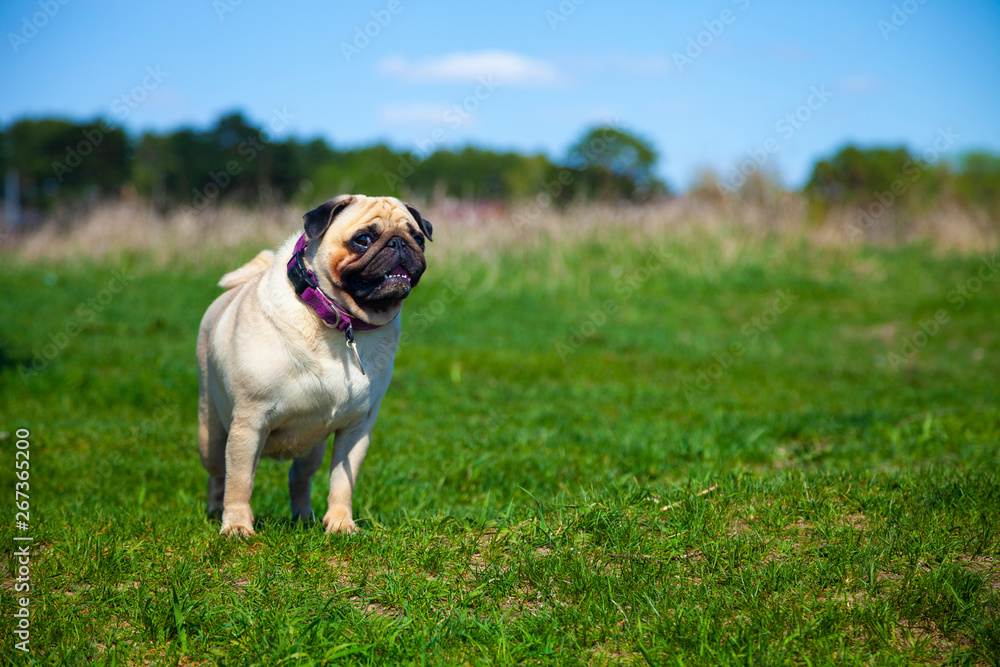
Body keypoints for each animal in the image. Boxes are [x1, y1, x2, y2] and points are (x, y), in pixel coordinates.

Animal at [195, 194, 430, 536]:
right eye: (363, 239)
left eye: (418, 239)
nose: (399, 243)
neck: (338, 322)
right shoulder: (248, 423)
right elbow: (239, 482)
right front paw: (237, 526)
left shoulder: (356, 428)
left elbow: (342, 481)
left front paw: (341, 524)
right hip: (211, 435)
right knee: (219, 476)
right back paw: (216, 512)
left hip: (312, 446)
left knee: (299, 477)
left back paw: (304, 517)